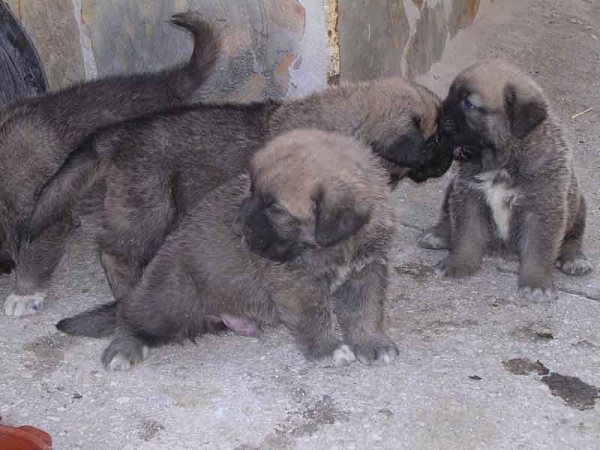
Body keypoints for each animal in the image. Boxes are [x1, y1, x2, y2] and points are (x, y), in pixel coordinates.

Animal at [420, 59, 592, 302]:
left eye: (469, 104)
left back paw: (574, 258)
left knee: (573, 237)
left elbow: (539, 250)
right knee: (447, 216)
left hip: (578, 205)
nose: (438, 118)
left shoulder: (542, 209)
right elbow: (466, 236)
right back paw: (439, 234)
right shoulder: (469, 196)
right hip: (452, 188)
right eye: (451, 94)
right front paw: (458, 263)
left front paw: (536, 283)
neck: (503, 161)